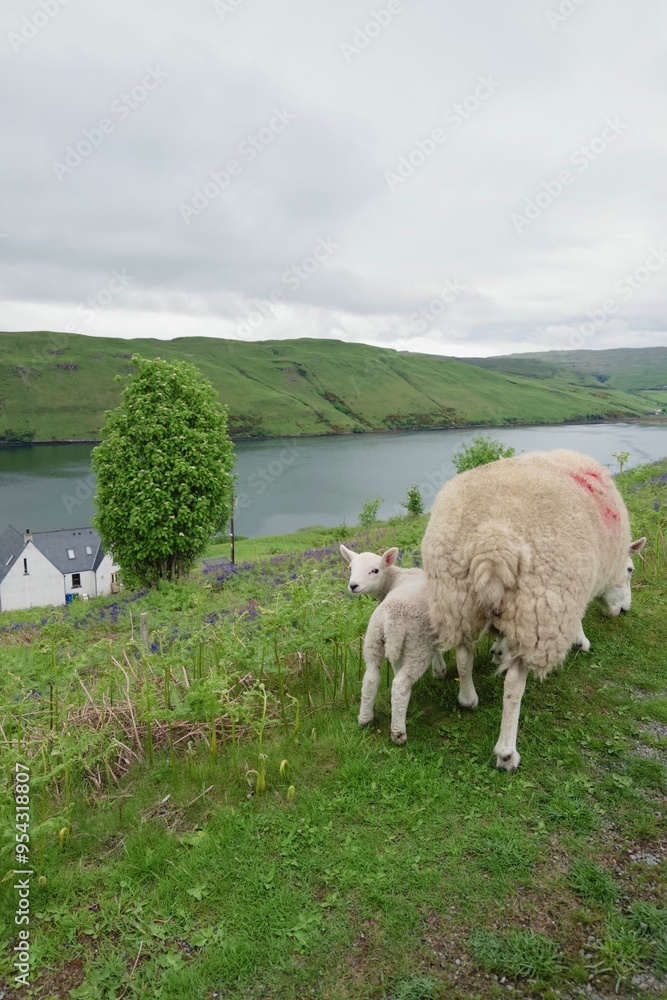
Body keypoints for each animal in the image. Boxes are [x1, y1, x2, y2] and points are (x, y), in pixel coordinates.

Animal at [340, 544, 447, 745]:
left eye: (375, 570)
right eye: (350, 568)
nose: (353, 585)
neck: (396, 577)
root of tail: (391, 619)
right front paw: (440, 670)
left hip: (373, 640)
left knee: (371, 678)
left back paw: (365, 719)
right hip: (417, 645)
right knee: (400, 684)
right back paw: (398, 733)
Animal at [421, 448, 646, 771]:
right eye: (629, 570)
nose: (625, 609)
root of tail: (493, 542)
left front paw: (498, 649)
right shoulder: (570, 594)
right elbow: (578, 618)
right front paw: (581, 641)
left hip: (457, 600)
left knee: (463, 655)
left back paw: (468, 698)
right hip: (539, 608)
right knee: (514, 684)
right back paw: (506, 752)